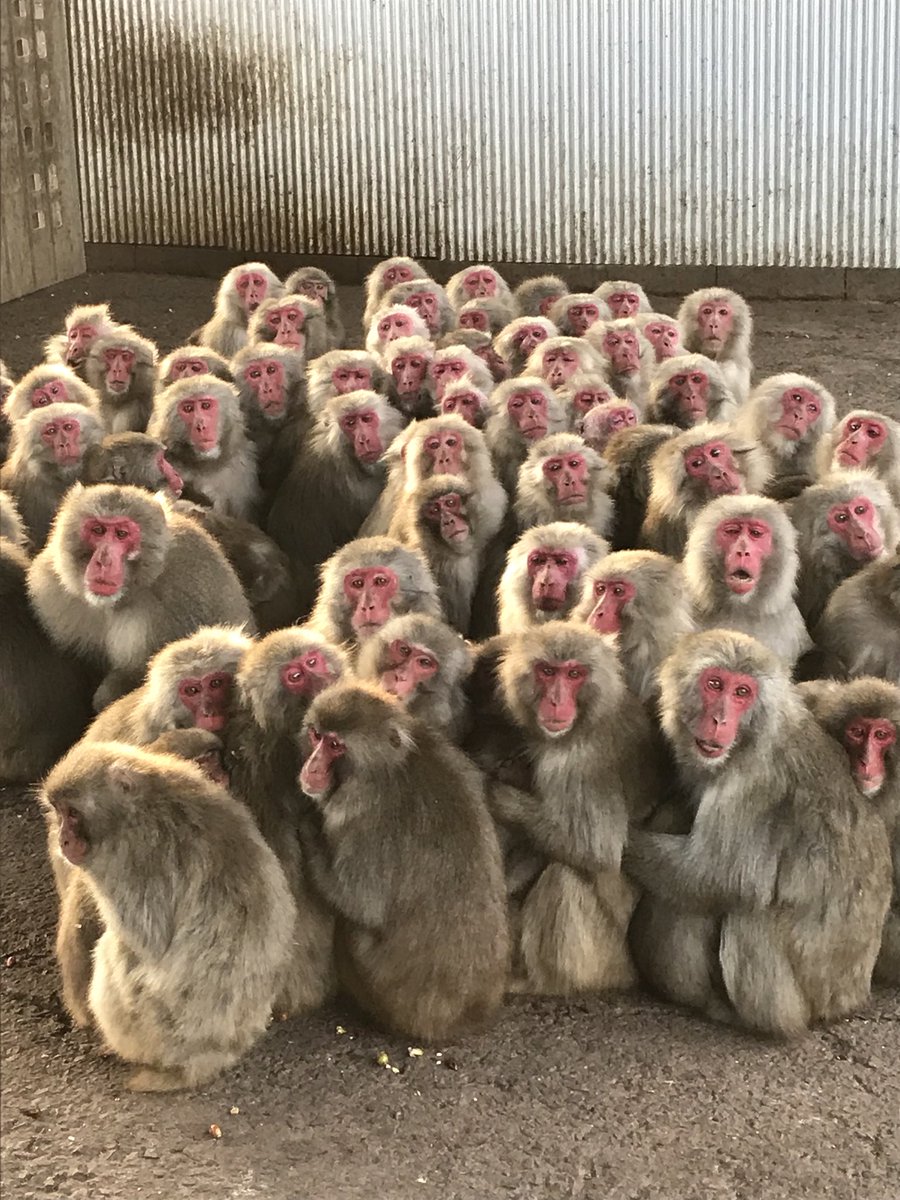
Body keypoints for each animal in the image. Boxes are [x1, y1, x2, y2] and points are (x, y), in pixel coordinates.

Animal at [42, 741, 295, 1090]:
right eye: (59, 811)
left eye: (73, 813)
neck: (138, 805)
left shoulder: (131, 860)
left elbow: (149, 941)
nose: (63, 839)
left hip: (155, 1026)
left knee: (112, 951)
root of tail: (213, 1057)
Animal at [296, 682, 509, 1039]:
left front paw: (309, 832)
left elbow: (360, 903)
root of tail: (469, 1016)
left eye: (335, 745)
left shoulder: (362, 819)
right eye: (317, 736)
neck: (389, 767)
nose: (311, 768)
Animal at [479, 623, 664, 994]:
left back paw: (543, 982)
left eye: (574, 674)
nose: (556, 701)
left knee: (564, 875)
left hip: (605, 959)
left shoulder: (575, 762)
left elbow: (594, 849)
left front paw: (497, 792)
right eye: (548, 671)